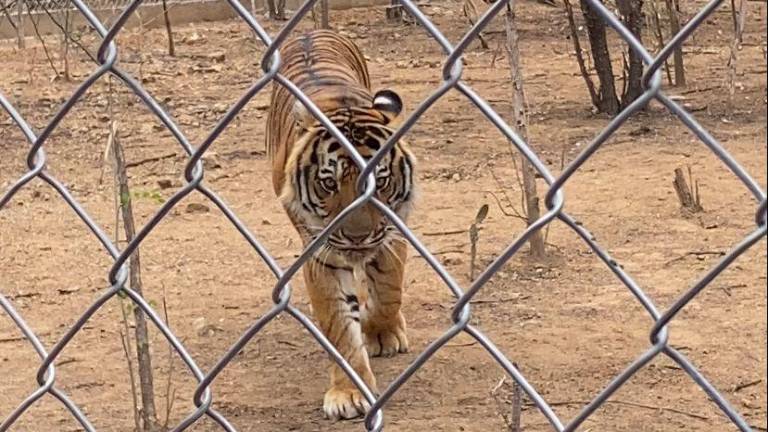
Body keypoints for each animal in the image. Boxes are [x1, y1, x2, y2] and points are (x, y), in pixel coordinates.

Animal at [265, 30, 417, 421]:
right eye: (328, 183)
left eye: (379, 181)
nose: (357, 236)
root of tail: (309, 31)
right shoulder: (322, 254)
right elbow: (338, 324)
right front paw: (349, 392)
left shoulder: (393, 231)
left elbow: (389, 288)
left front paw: (382, 333)